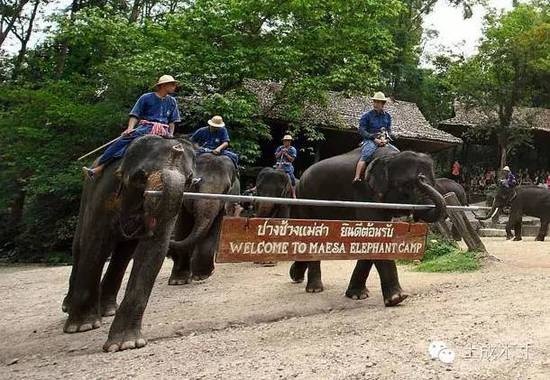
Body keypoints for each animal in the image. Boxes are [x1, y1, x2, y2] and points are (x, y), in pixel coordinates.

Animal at [63, 135, 196, 352]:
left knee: (123, 254)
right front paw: (82, 326)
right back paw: (70, 306)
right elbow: (95, 243)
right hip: (87, 192)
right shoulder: (104, 192)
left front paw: (126, 344)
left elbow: (154, 249)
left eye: (189, 180)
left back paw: (107, 309)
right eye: (140, 176)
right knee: (80, 245)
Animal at [169, 153, 240, 284]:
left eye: (226, 189)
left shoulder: (223, 204)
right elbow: (183, 226)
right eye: (195, 185)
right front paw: (178, 281)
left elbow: (213, 228)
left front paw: (201, 276)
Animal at [288, 145, 448, 306]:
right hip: (305, 200)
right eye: (407, 185)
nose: (421, 178)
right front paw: (397, 298)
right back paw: (314, 288)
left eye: (434, 183)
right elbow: (376, 235)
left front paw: (358, 295)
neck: (391, 156)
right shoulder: (364, 193)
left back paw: (297, 276)